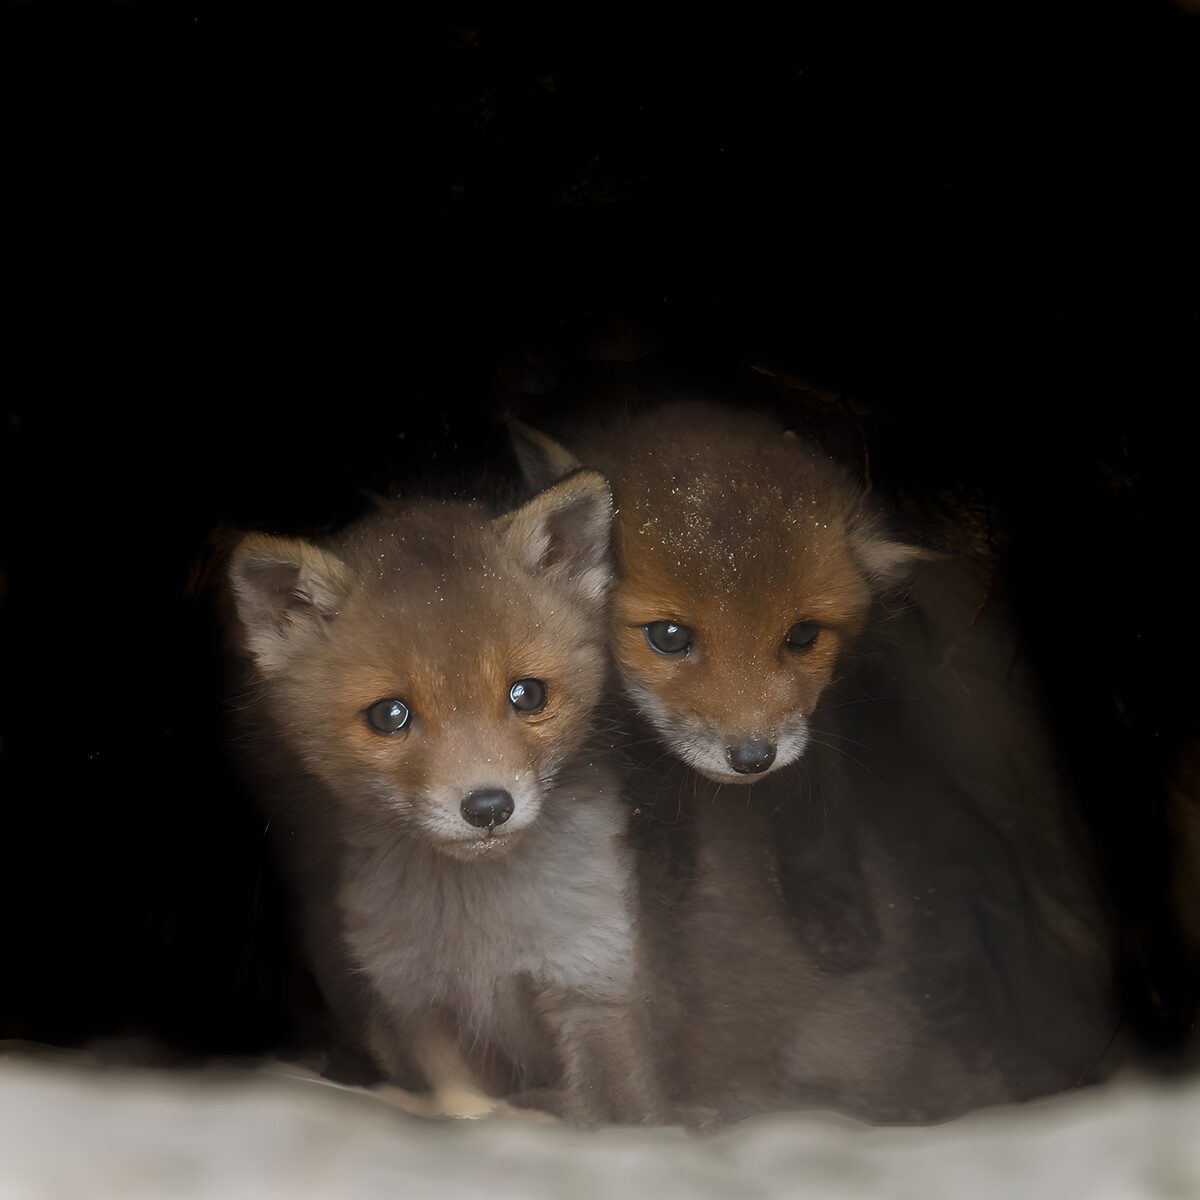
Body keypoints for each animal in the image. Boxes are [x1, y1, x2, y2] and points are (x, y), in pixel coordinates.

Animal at [226, 470, 663, 1125]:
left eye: (528, 695)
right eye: (389, 715)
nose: (488, 807)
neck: (480, 936)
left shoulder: (593, 981)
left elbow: (615, 1112)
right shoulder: (415, 1003)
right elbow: (464, 1106)